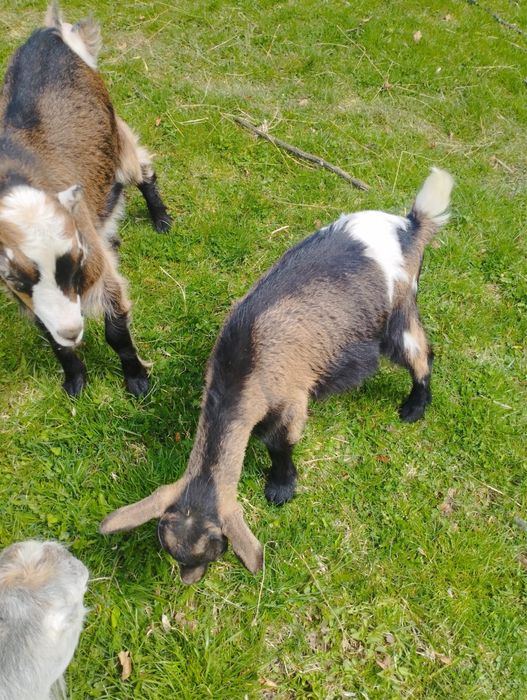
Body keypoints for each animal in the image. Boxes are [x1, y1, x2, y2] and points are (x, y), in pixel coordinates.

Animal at [0, 2, 171, 397]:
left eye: (74, 261)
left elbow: (116, 329)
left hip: (114, 135)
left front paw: (137, 380)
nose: (72, 330)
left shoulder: (96, 264)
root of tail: (51, 33)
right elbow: (53, 340)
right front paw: (75, 380)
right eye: (15, 277)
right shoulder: (28, 299)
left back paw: (160, 218)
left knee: (140, 169)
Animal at [100, 168, 454, 583]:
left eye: (215, 549)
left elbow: (278, 442)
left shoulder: (291, 398)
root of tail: (410, 226)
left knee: (421, 354)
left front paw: (281, 487)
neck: (243, 363)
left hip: (398, 312)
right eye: (169, 546)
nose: (189, 580)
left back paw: (414, 407)